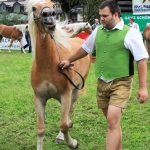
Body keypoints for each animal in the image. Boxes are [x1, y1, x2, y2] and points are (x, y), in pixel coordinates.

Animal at [25, 0, 91, 149]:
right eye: (34, 8)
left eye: (51, 4)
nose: (49, 14)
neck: (47, 67)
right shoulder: (39, 98)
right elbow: (40, 129)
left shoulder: (65, 94)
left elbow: (63, 125)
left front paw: (72, 143)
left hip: (75, 91)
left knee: (69, 112)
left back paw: (62, 135)